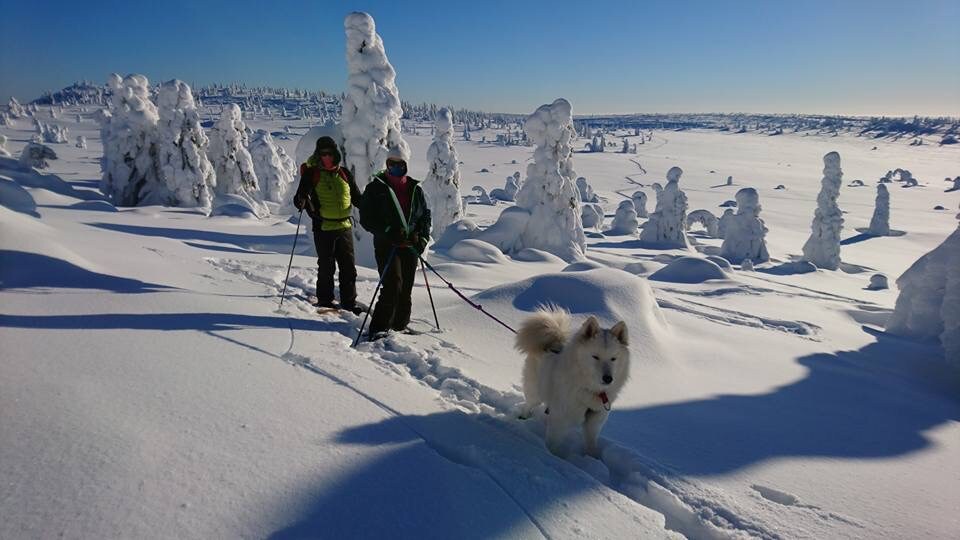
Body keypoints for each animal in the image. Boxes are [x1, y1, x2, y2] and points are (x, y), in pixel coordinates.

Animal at [516, 310, 632, 458]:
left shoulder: (594, 422)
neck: (591, 389)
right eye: (595, 357)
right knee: (529, 404)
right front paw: (552, 456)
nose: (608, 378)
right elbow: (553, 442)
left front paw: (593, 458)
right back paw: (523, 417)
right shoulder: (561, 417)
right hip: (536, 392)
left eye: (613, 358)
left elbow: (591, 443)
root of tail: (550, 346)